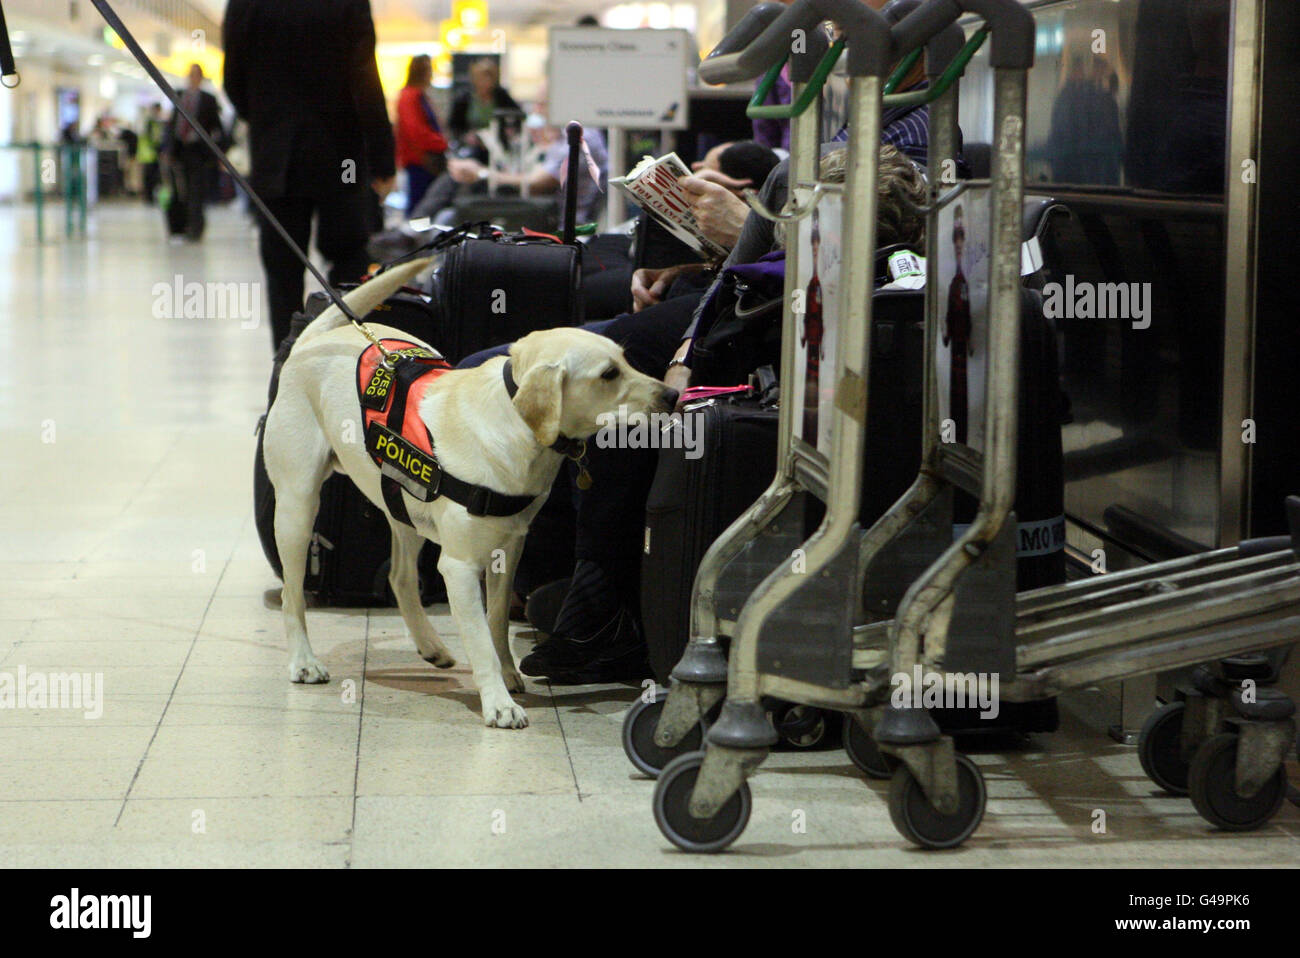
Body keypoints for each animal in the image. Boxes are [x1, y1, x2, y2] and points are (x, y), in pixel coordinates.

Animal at [260, 259, 676, 722]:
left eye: (626, 359)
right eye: (608, 374)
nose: (673, 392)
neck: (515, 423)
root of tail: (311, 341)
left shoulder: (508, 550)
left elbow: (496, 621)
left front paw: (508, 675)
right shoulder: (459, 566)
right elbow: (479, 637)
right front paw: (498, 701)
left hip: (404, 506)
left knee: (400, 576)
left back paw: (430, 644)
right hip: (298, 508)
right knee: (294, 594)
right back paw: (303, 661)